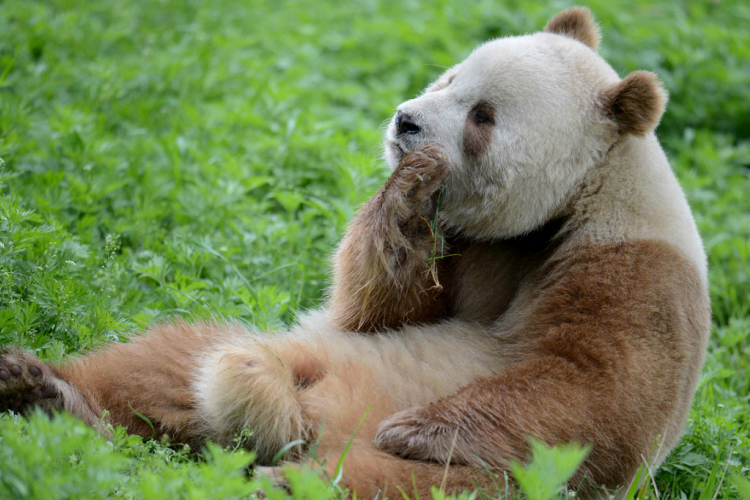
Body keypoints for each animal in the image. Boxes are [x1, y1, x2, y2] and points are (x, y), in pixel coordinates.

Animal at [0, 7, 712, 500]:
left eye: (482, 115)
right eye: (449, 75)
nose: (406, 122)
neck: (568, 203)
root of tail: (304, 424)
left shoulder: (635, 272)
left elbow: (593, 389)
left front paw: (417, 428)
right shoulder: (471, 245)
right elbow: (377, 310)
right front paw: (407, 191)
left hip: (479, 480)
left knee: (393, 483)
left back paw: (284, 481)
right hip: (297, 351)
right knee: (165, 364)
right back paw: (47, 393)